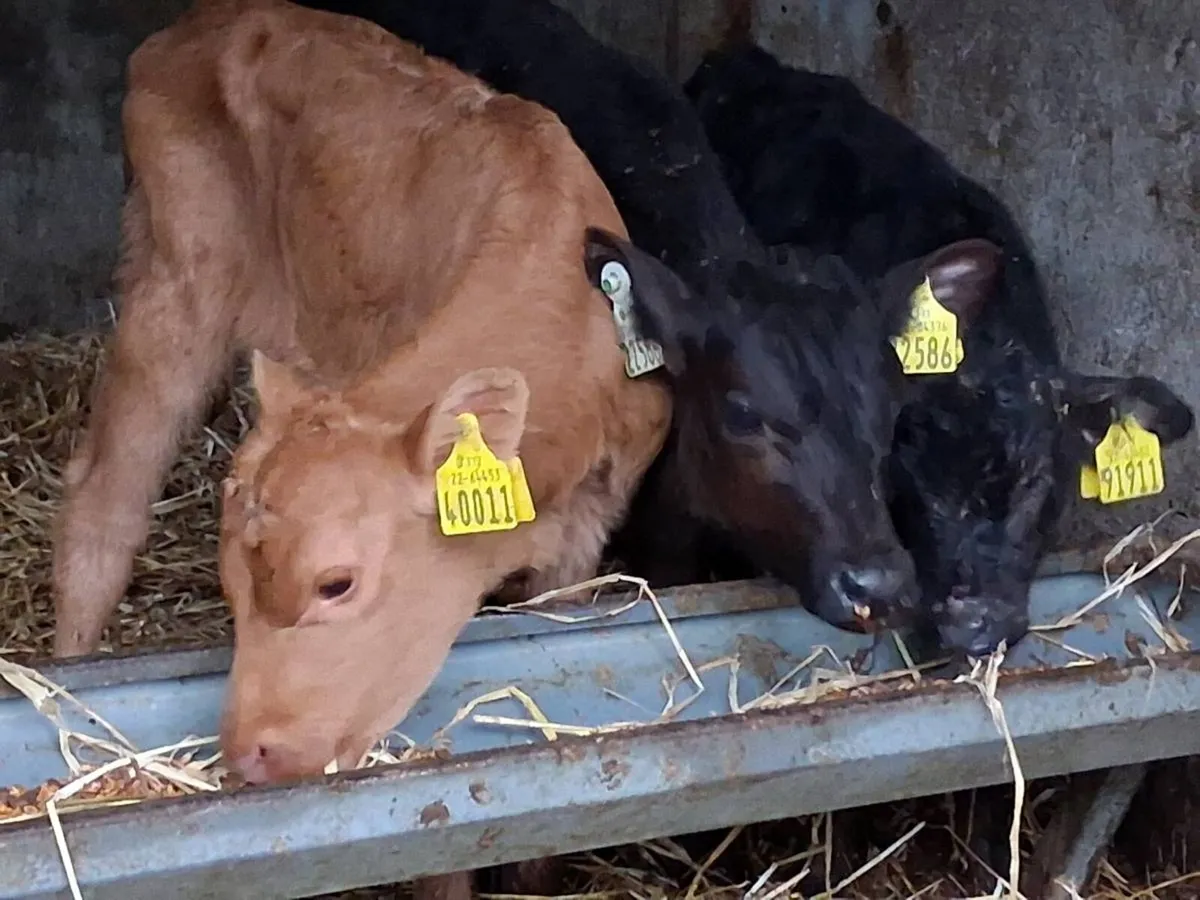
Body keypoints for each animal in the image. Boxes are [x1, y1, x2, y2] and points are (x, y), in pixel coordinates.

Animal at [51, 1, 672, 895]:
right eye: (230, 589)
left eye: (335, 583)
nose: (249, 753)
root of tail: (202, 22)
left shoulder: (585, 535)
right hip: (179, 274)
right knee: (104, 496)